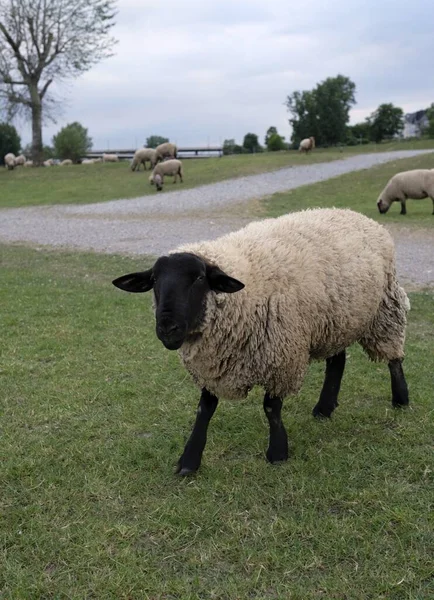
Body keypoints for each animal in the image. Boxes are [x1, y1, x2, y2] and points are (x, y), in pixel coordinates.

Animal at [112, 209, 410, 476]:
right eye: (154, 280)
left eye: (198, 278)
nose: (167, 328)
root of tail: (357, 214)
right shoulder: (213, 362)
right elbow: (204, 409)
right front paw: (189, 460)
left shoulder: (281, 356)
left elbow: (270, 408)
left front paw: (277, 453)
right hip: (334, 321)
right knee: (337, 362)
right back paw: (324, 409)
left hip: (385, 308)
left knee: (393, 357)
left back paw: (401, 399)